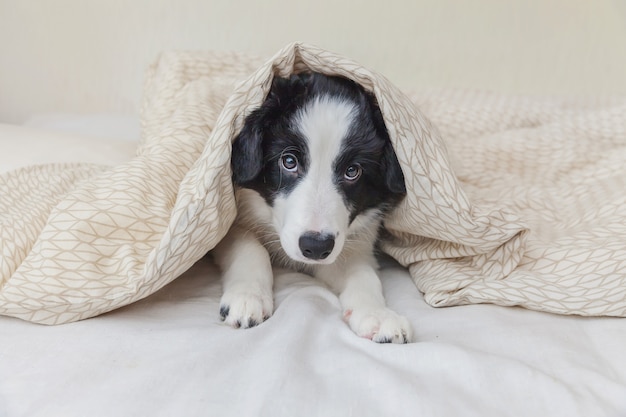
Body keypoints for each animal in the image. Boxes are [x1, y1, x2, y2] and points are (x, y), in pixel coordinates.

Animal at [212, 71, 412, 342]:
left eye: (353, 171)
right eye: (288, 161)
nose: (316, 247)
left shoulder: (350, 244)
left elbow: (363, 274)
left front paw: (378, 314)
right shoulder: (229, 219)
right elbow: (250, 246)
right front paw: (247, 296)